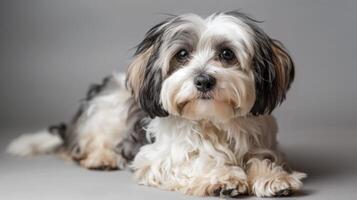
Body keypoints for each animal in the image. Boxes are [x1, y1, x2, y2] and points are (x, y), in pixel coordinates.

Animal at [6, 11, 306, 198]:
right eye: (182, 55)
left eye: (226, 54)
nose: (203, 80)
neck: (212, 122)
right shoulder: (156, 159)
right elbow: (195, 161)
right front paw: (222, 177)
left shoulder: (262, 144)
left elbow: (261, 160)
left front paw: (272, 177)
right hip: (108, 112)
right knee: (82, 147)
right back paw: (101, 158)